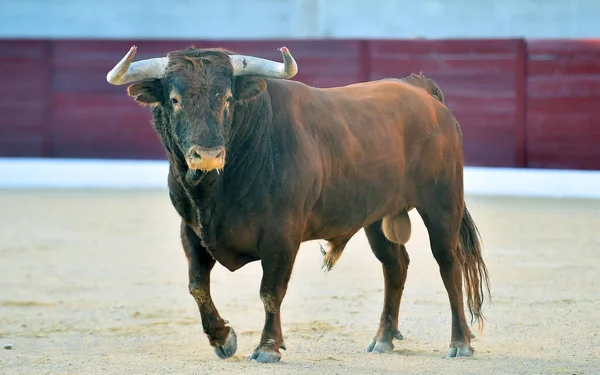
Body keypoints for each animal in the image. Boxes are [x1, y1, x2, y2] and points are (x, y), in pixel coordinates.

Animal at [105, 44, 490, 364]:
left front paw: (267, 348)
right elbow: (198, 286)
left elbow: (270, 291)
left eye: (227, 98)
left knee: (448, 264)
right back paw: (382, 339)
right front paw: (222, 338)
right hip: (376, 216)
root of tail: (421, 91)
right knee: (395, 265)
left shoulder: (281, 234)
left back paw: (460, 343)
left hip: (441, 202)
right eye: (174, 99)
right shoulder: (192, 230)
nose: (208, 155)